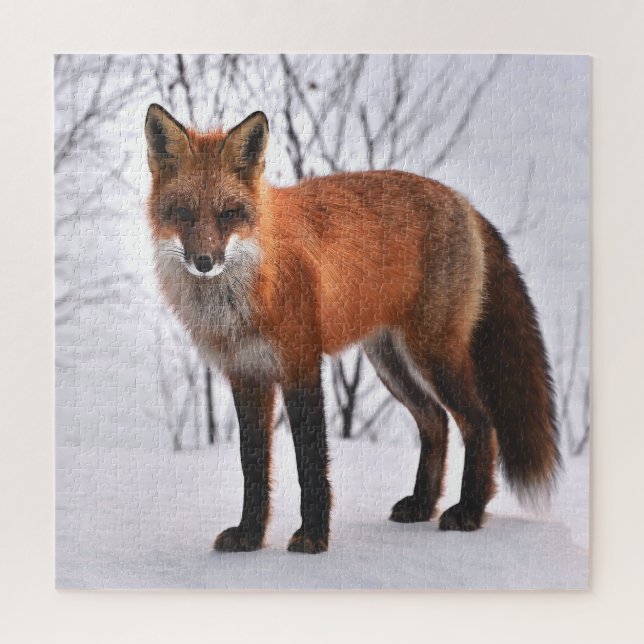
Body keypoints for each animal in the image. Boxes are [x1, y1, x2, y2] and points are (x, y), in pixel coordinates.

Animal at [144, 104, 560, 554]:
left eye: (228, 214)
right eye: (184, 213)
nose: (204, 262)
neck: (246, 292)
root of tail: (463, 202)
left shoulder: (301, 364)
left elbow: (310, 462)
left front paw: (313, 537)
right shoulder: (247, 374)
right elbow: (251, 466)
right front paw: (250, 535)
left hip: (433, 355)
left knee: (480, 423)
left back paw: (468, 512)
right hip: (391, 362)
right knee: (436, 422)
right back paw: (422, 505)